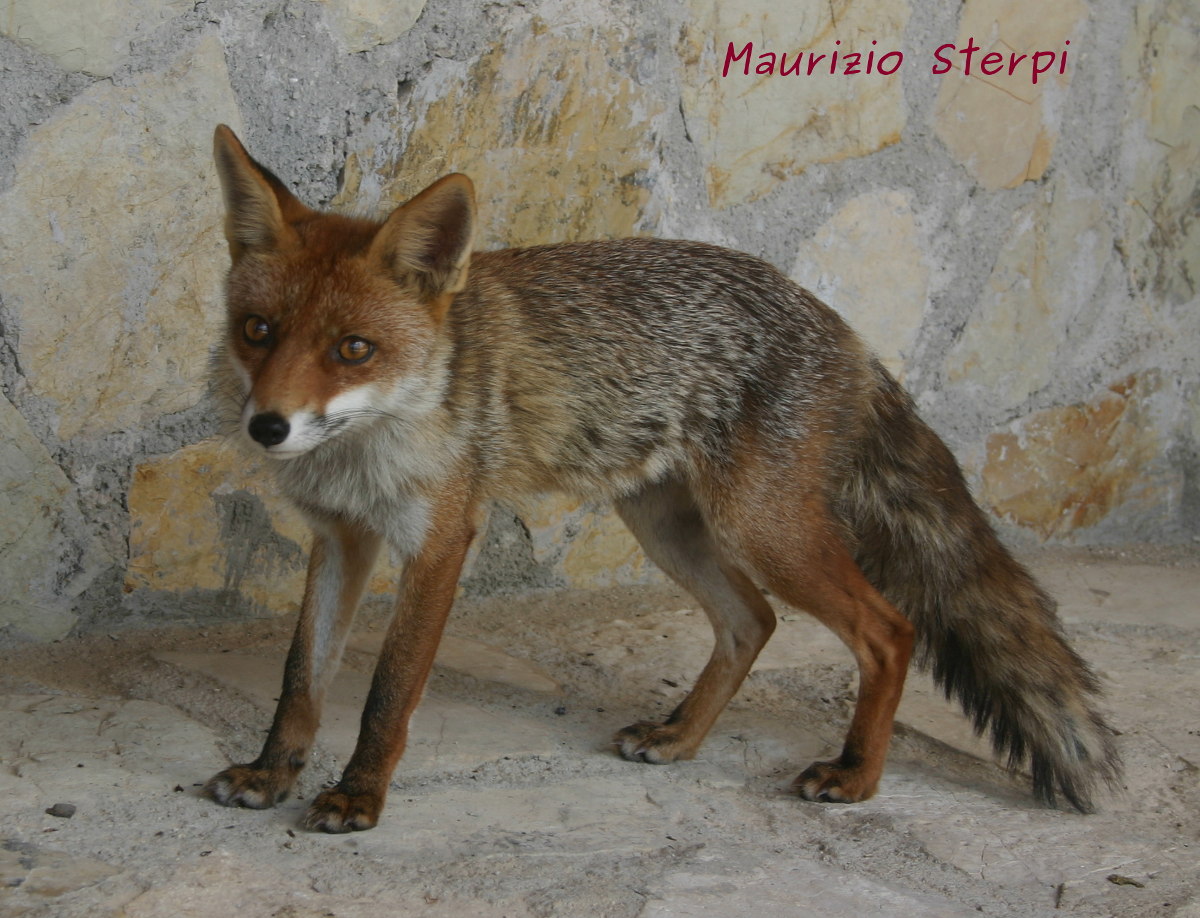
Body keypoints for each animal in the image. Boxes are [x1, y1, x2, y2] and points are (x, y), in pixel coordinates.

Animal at [202, 124, 1120, 833]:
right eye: (258, 331)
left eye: (353, 348)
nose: (267, 426)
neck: (370, 444)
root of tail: (845, 329)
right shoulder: (341, 538)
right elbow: (301, 680)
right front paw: (270, 773)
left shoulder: (439, 543)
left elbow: (386, 694)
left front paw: (358, 796)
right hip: (666, 526)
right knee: (754, 621)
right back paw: (682, 739)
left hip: (763, 530)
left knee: (890, 630)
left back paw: (857, 774)